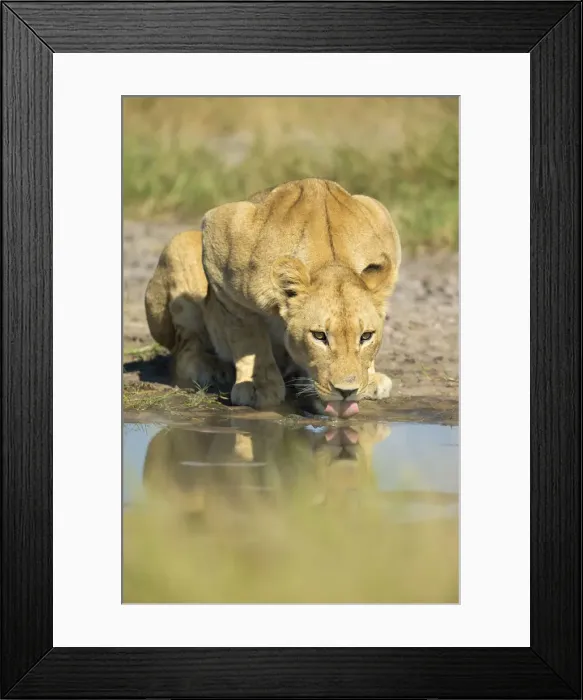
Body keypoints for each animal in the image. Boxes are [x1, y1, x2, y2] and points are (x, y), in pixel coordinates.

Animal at [145, 178, 401, 416]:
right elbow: (249, 338)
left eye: (366, 336)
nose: (347, 392)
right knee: (184, 350)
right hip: (180, 247)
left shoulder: (379, 213)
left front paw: (370, 378)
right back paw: (211, 368)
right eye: (319, 336)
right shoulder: (219, 239)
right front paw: (260, 387)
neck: (331, 259)